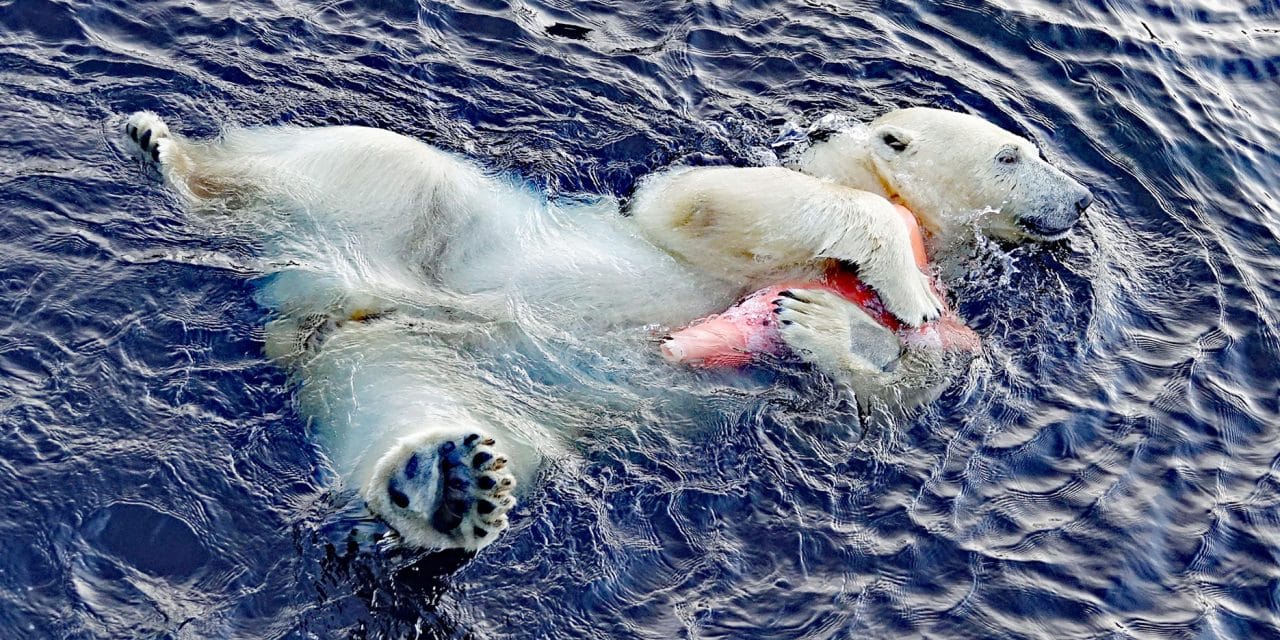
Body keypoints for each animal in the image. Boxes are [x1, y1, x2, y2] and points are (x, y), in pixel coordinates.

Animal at [122, 107, 1090, 552]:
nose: (1082, 197)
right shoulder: (714, 211)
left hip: (437, 370)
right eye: (1012, 151)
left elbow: (881, 398)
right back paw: (170, 156)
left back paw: (448, 486)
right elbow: (715, 201)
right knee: (361, 161)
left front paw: (828, 327)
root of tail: (318, 303)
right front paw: (892, 277)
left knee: (425, 410)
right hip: (407, 211)